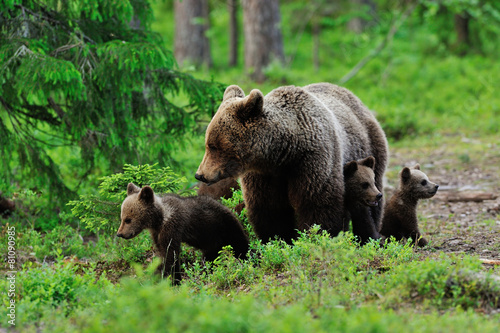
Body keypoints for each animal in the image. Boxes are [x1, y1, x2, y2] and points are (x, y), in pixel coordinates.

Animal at [194, 82, 386, 244]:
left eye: (213, 146)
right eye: (208, 143)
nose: (200, 175)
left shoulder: (313, 161)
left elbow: (317, 205)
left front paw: (313, 238)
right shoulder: (265, 175)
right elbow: (270, 210)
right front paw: (279, 240)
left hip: (370, 150)